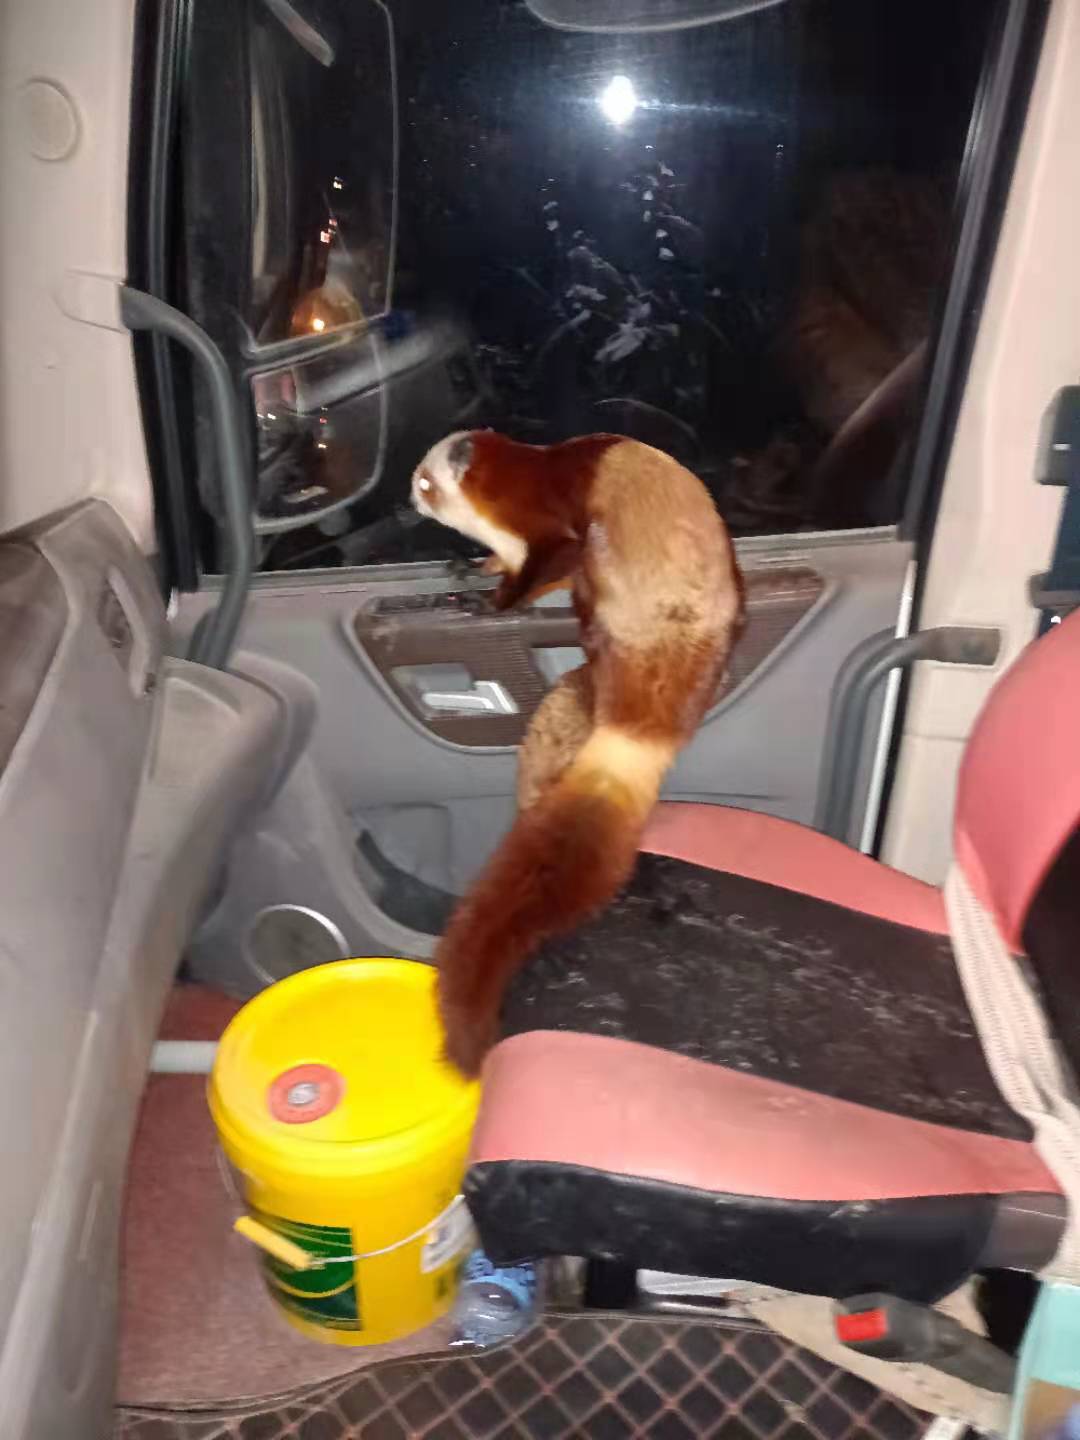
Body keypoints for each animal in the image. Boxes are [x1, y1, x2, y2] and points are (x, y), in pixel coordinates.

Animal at [412, 430, 743, 1075]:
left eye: (423, 482)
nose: (410, 501)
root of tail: (638, 730)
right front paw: (475, 564)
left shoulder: (550, 534)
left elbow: (537, 571)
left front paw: (485, 598)